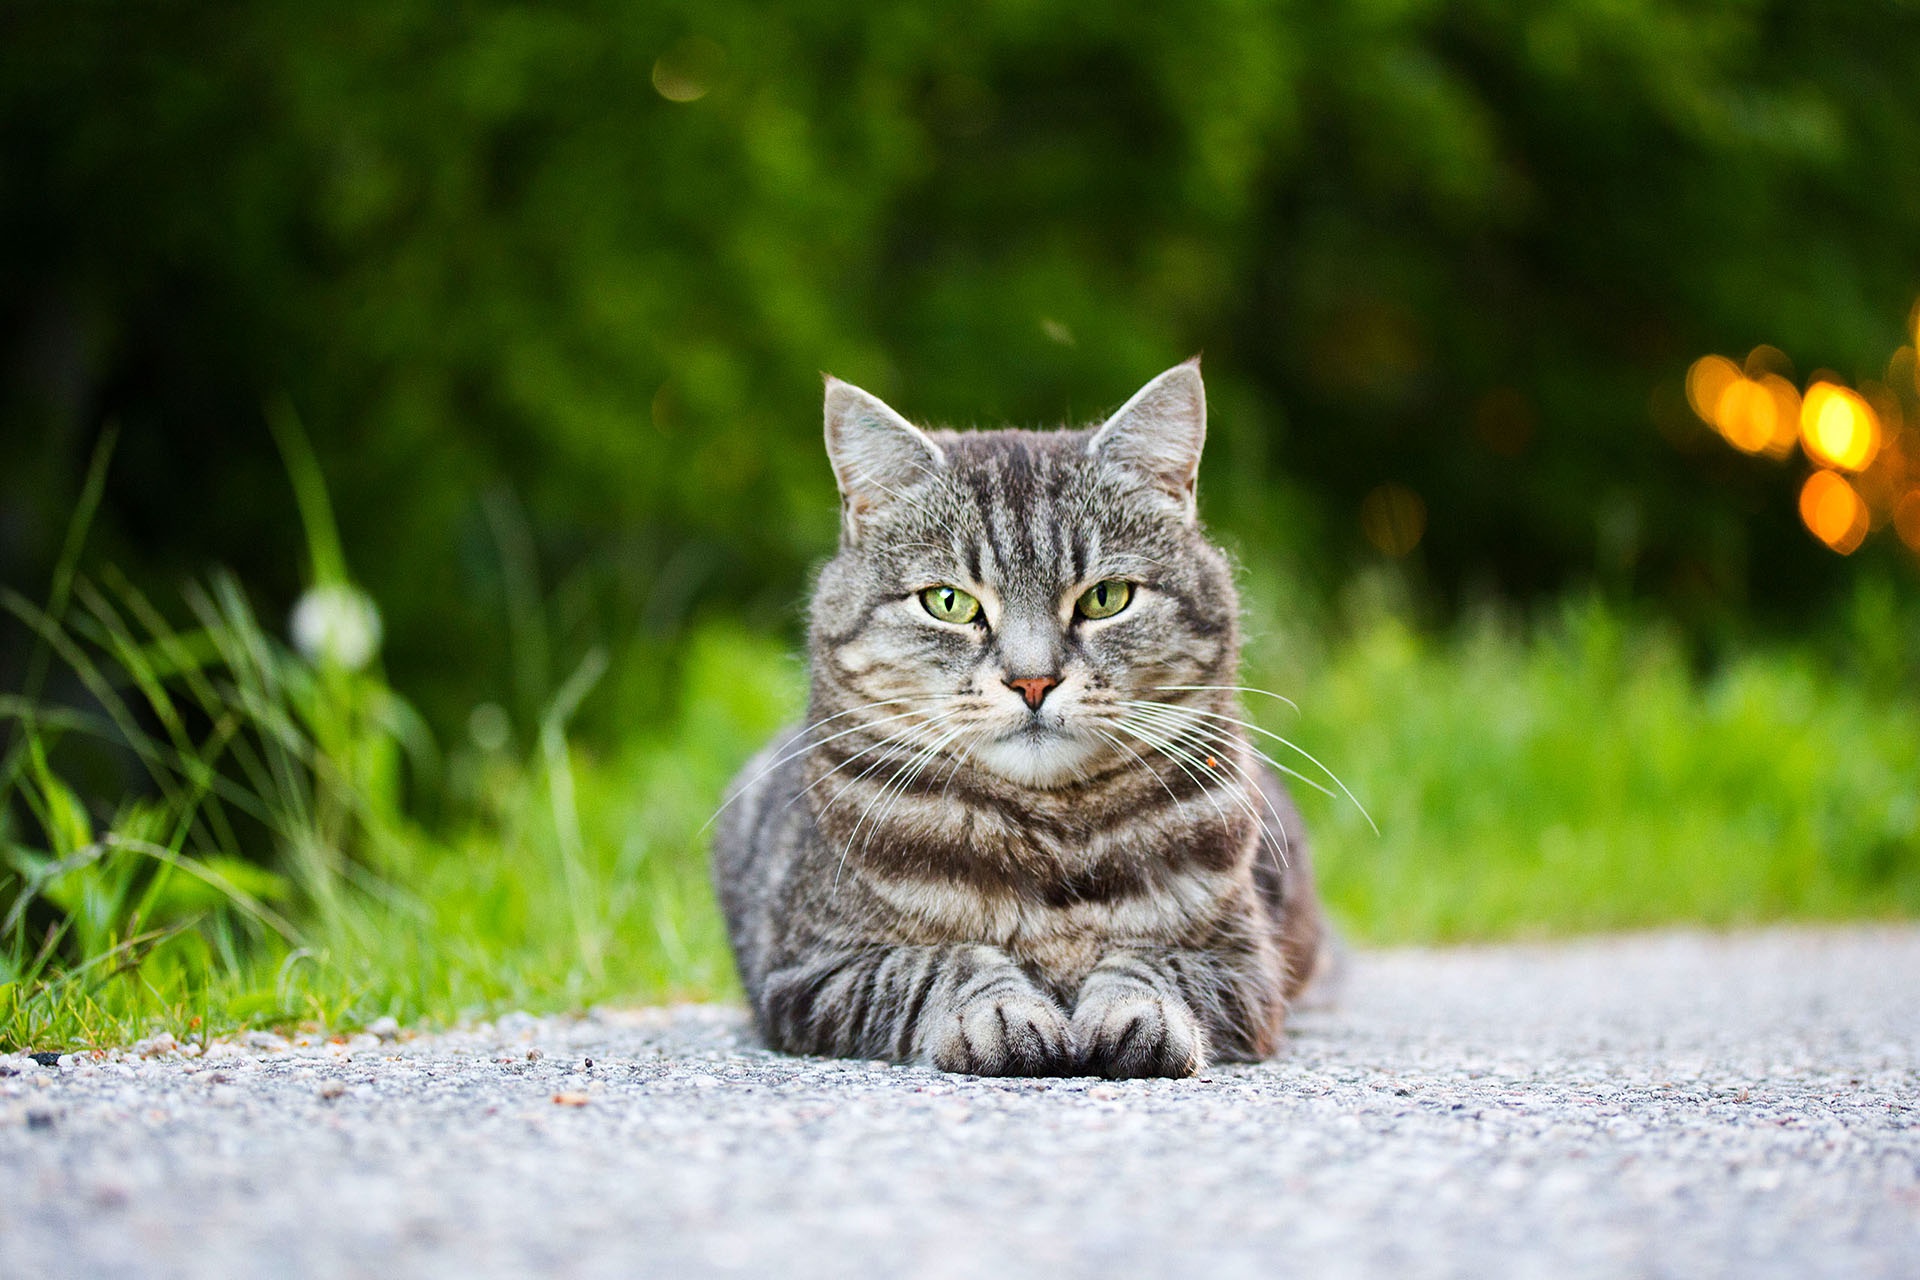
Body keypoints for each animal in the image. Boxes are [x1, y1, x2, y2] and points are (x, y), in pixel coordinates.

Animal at [714, 362, 1328, 1082]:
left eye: (1106, 598)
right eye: (948, 602)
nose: (1032, 680)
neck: (1051, 839)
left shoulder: (1241, 967)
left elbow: (1150, 964)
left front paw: (1134, 1013)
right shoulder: (816, 969)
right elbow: (946, 964)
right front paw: (1002, 1015)